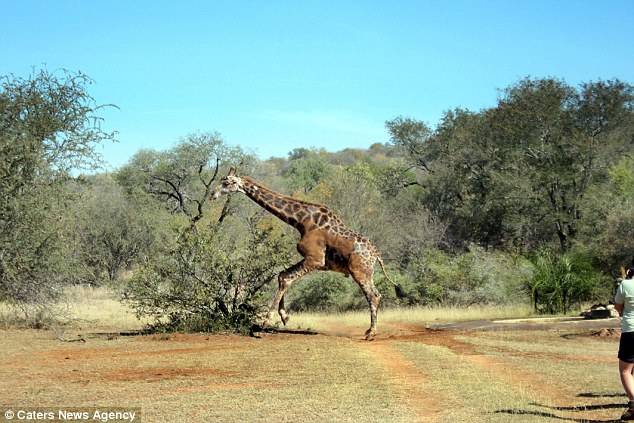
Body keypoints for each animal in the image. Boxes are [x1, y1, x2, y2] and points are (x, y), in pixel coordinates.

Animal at [215, 167, 398, 340]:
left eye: (228, 182)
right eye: (222, 180)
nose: (213, 194)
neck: (301, 221)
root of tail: (377, 255)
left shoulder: (315, 259)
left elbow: (287, 279)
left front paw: (264, 325)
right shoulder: (310, 259)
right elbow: (282, 275)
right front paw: (285, 317)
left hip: (359, 271)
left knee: (373, 296)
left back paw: (370, 333)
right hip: (367, 272)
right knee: (377, 294)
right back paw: (370, 331)